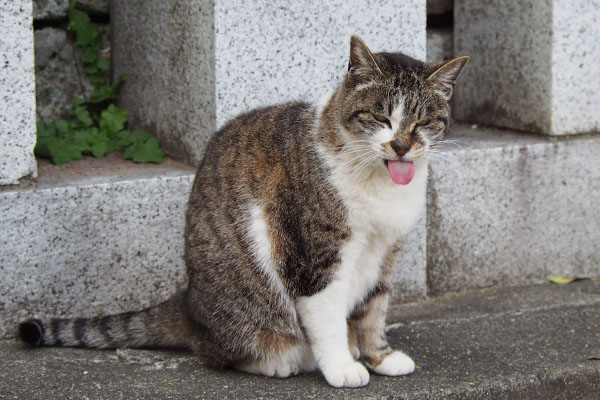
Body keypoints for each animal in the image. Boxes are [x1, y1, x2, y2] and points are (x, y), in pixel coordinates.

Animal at [17, 36, 468, 388]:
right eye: (380, 117)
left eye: (422, 122)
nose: (401, 147)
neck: (378, 182)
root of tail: (189, 300)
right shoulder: (315, 256)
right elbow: (327, 316)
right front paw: (342, 366)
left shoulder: (384, 252)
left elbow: (374, 310)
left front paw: (379, 356)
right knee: (215, 351)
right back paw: (278, 362)